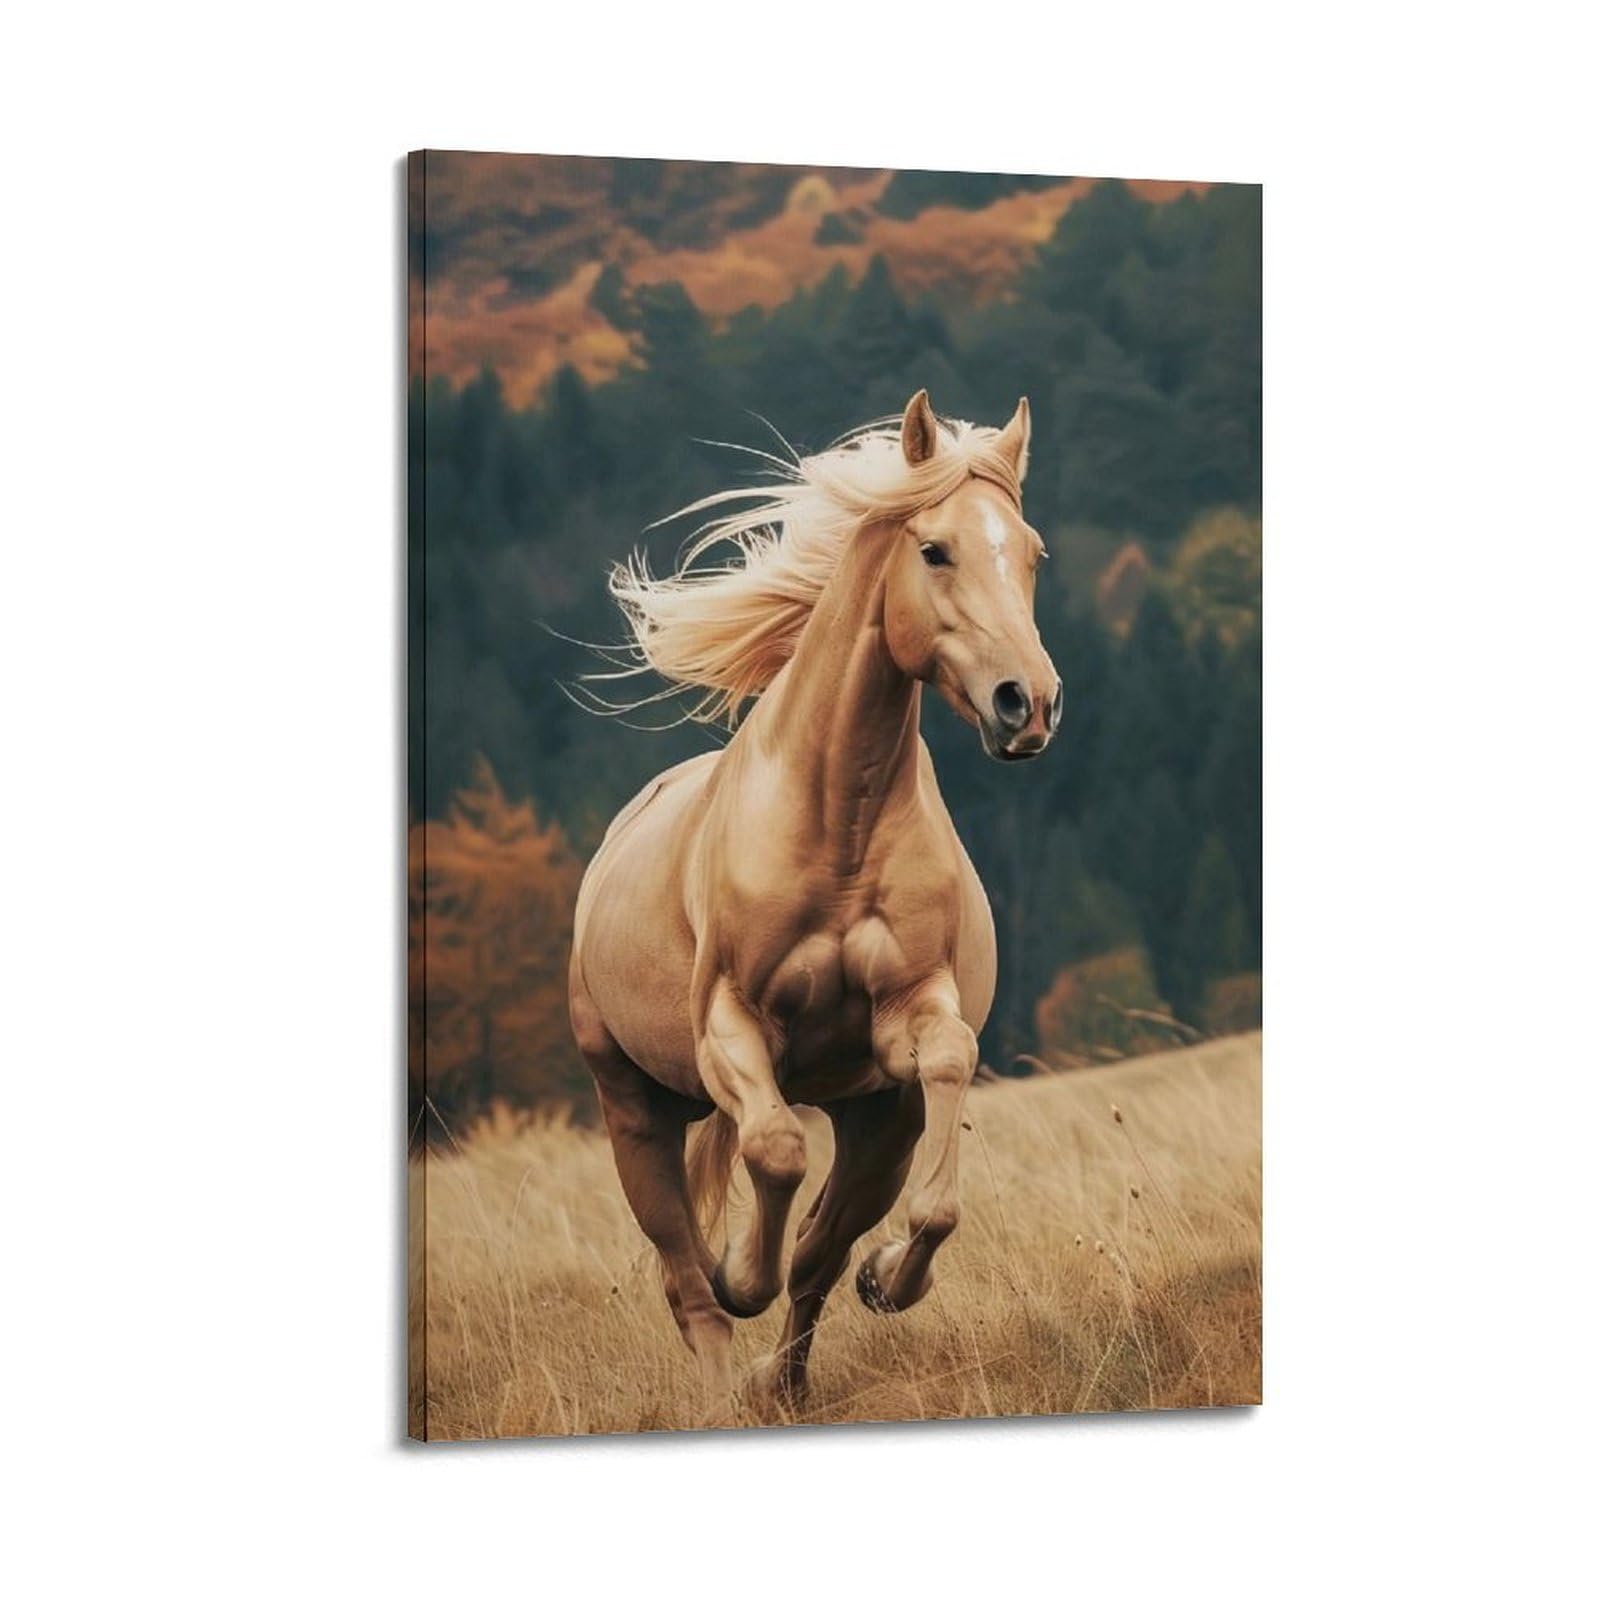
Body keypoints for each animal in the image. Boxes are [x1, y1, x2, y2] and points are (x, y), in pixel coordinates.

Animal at [568, 390, 1059, 1422]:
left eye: (1033, 553)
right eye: (935, 550)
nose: (1027, 705)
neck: (836, 823)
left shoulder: (909, 1024)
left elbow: (931, 1132)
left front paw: (889, 1276)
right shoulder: (731, 1028)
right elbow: (776, 1151)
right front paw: (738, 1270)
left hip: (878, 1124)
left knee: (820, 1257)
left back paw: (788, 1375)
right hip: (632, 1109)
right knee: (687, 1276)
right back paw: (727, 1360)